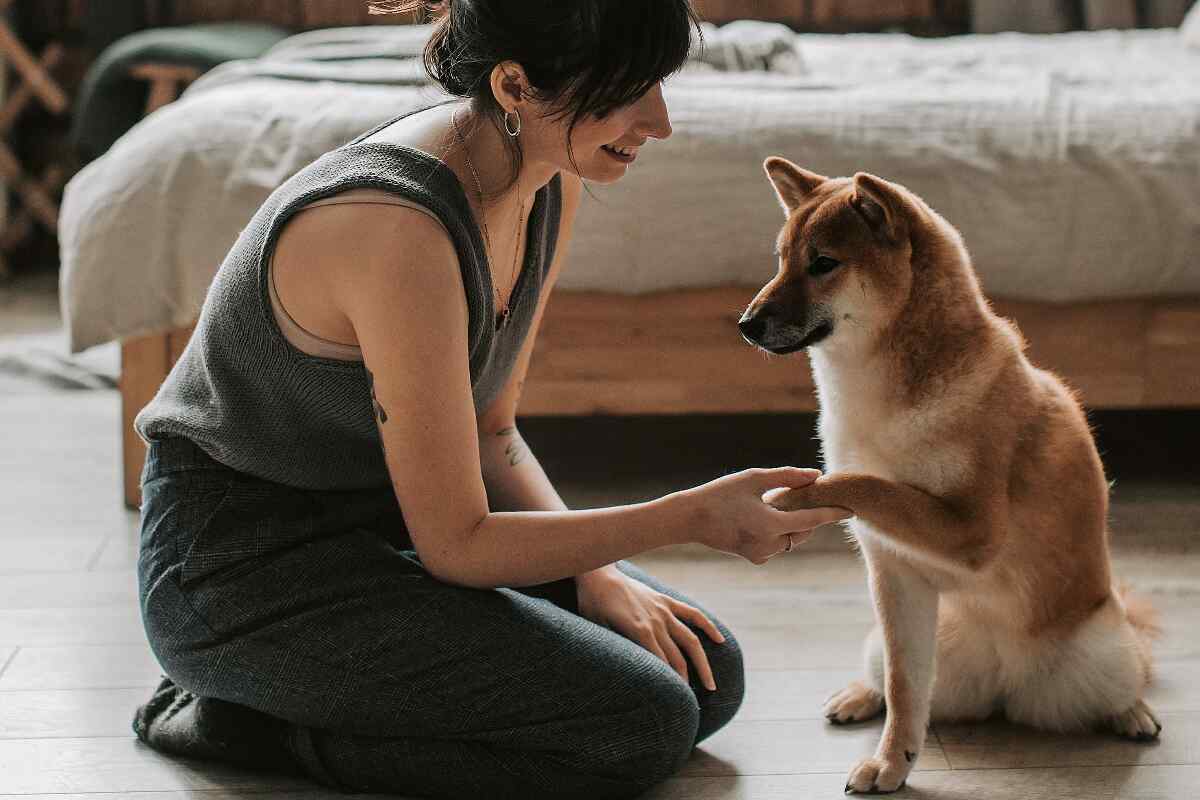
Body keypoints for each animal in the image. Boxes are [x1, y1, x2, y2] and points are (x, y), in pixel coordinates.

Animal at [739, 158, 1161, 796]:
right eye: (781, 259)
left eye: (824, 263)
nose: (746, 324)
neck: (878, 399)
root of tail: (1005, 685)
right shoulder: (894, 574)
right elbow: (905, 689)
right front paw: (893, 763)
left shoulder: (972, 531)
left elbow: (866, 483)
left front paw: (794, 494)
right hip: (894, 639)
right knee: (891, 679)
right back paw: (859, 695)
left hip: (1103, 651)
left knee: (1131, 673)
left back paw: (1133, 713)